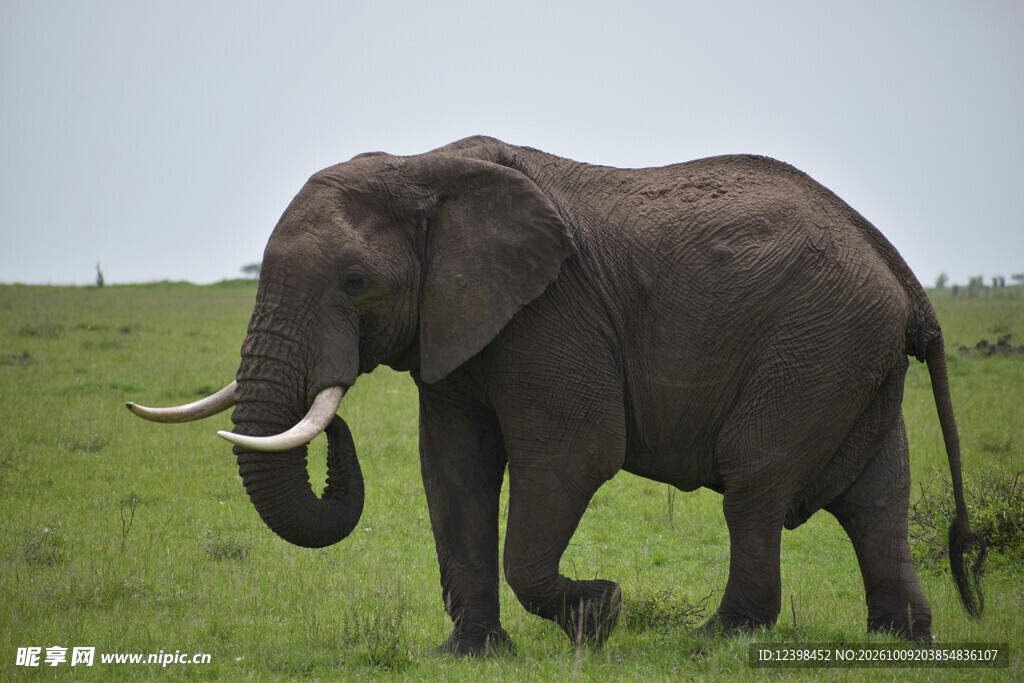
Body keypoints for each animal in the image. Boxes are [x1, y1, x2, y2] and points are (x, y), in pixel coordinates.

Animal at [127, 136, 986, 654]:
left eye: (355, 281)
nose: (333, 423)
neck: (422, 167)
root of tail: (899, 272)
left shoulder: (553, 314)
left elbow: (572, 454)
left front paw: (600, 613)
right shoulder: (460, 326)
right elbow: (454, 470)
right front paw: (469, 652)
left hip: (814, 345)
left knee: (756, 478)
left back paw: (714, 639)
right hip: (850, 355)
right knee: (875, 496)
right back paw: (898, 640)